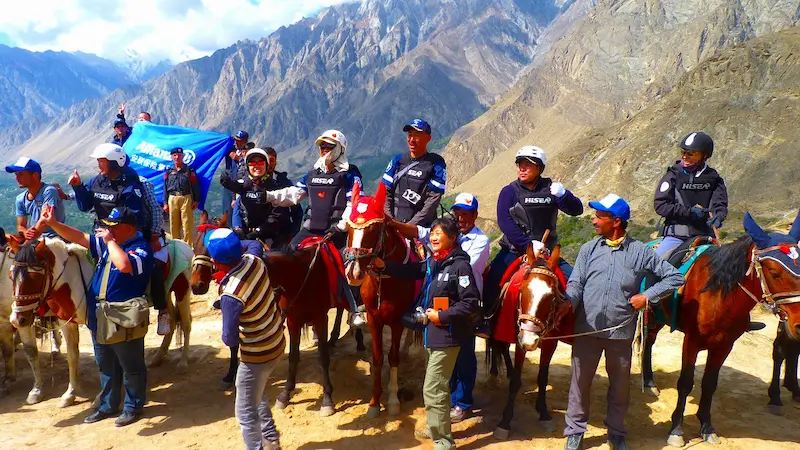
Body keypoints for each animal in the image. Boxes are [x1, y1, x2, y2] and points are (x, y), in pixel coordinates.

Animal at [342, 182, 416, 418]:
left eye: (373, 230)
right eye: (348, 229)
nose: (354, 273)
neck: (385, 278)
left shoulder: (396, 322)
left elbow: (392, 358)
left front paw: (393, 401)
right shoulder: (374, 320)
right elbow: (377, 358)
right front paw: (374, 403)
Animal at [488, 244, 576, 438]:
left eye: (552, 296)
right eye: (522, 290)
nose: (530, 340)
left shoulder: (550, 343)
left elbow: (542, 378)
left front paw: (543, 413)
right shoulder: (520, 340)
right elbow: (515, 382)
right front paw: (505, 422)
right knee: (500, 346)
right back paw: (496, 372)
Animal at [640, 214, 800, 446]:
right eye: (774, 272)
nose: (799, 324)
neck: (718, 294)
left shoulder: (724, 345)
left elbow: (710, 384)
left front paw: (706, 427)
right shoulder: (692, 341)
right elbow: (685, 383)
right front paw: (676, 430)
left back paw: (650, 381)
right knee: (648, 342)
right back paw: (648, 382)